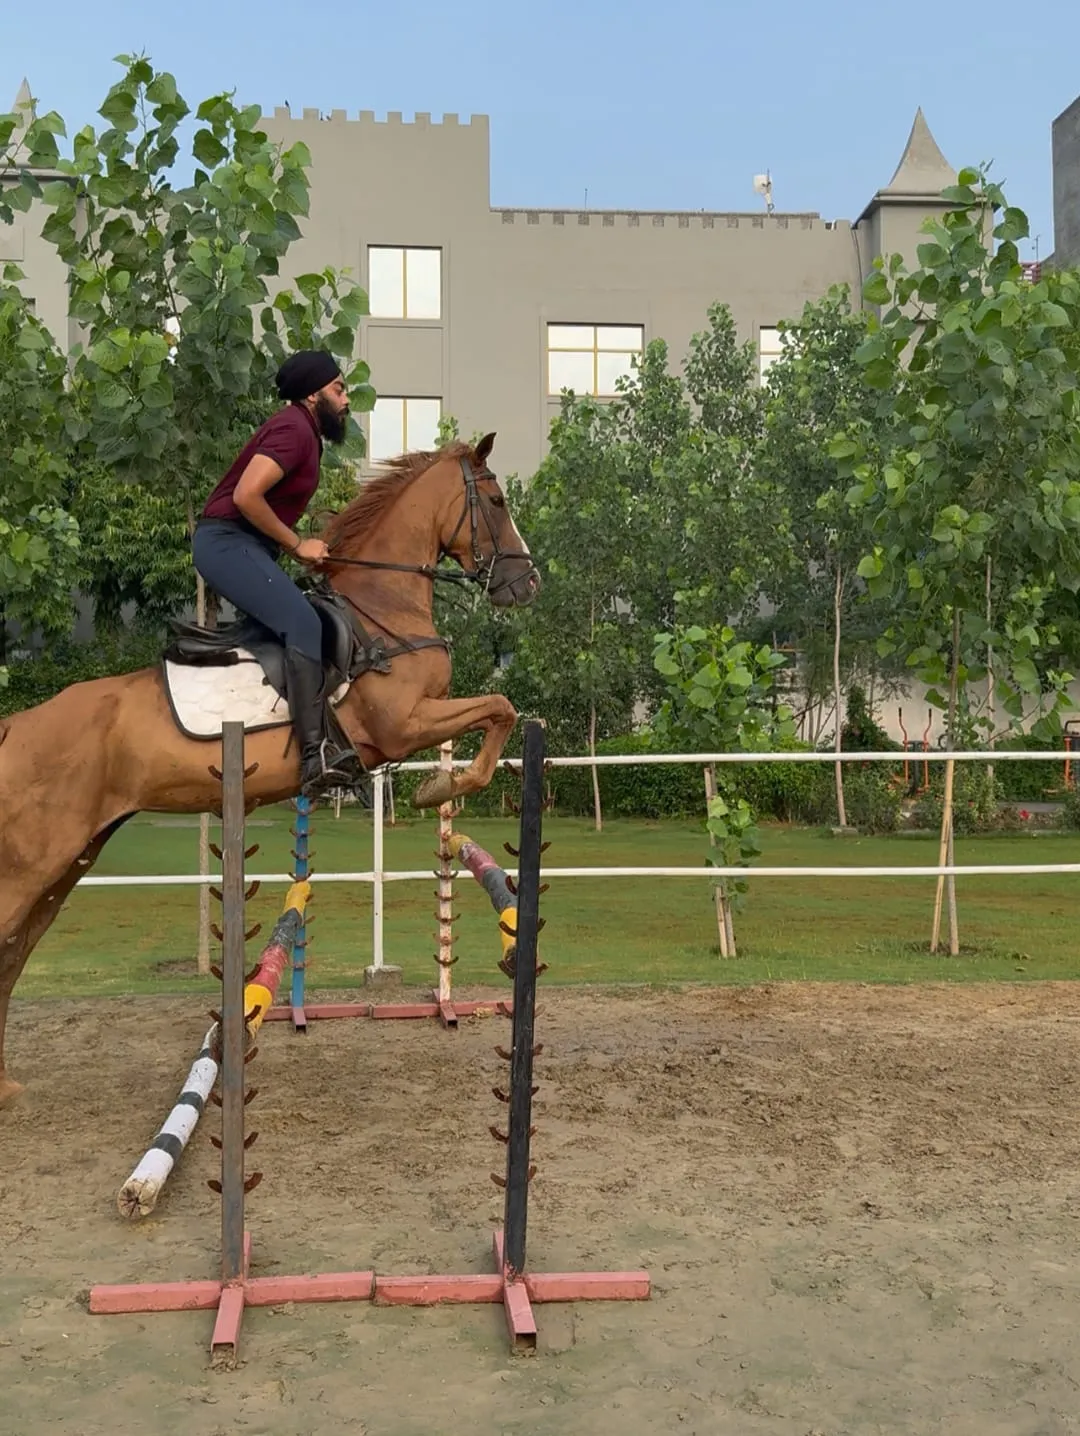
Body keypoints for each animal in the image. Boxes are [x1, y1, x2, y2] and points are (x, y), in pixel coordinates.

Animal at [0, 433, 539, 1105]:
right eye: (495, 502)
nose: (527, 583)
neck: (380, 610)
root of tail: (16, 726)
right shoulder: (404, 724)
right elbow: (500, 706)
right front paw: (444, 785)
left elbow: (500, 709)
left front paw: (444, 787)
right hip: (35, 861)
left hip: (70, 861)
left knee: (13, 955)